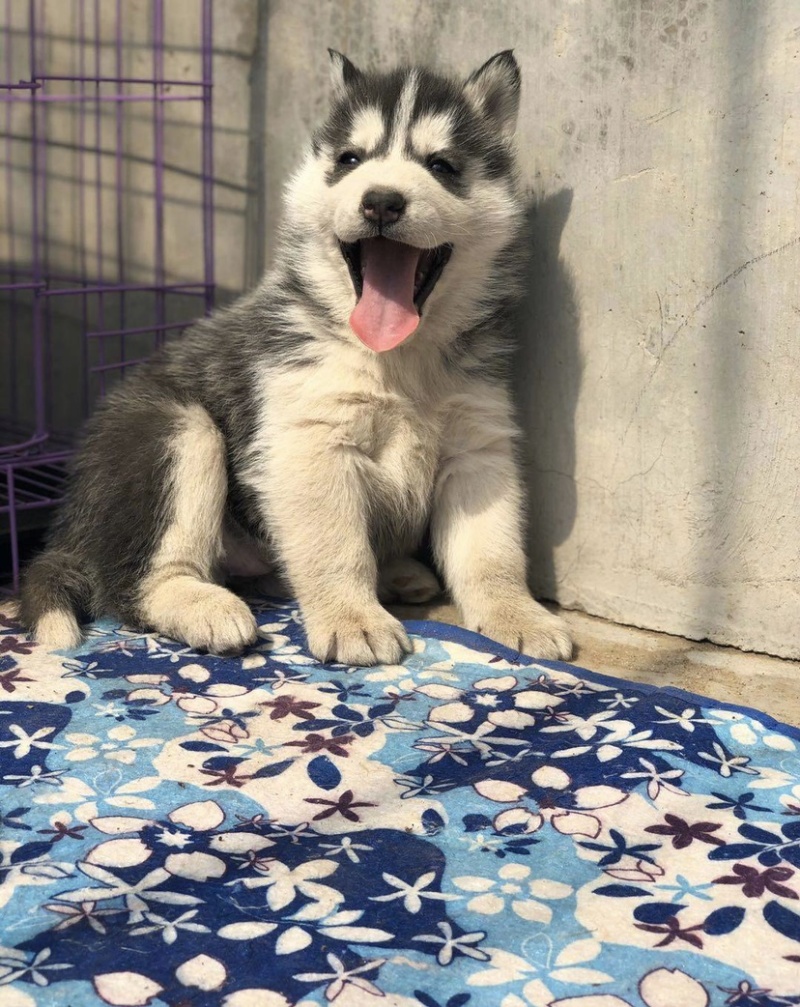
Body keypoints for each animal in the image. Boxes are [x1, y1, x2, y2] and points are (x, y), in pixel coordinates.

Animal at [18, 47, 572, 664]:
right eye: (350, 160)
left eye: (443, 166)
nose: (381, 201)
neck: (396, 359)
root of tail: (69, 524)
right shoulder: (310, 442)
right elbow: (336, 546)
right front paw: (353, 620)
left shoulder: (478, 446)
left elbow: (492, 553)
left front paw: (516, 613)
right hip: (174, 429)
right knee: (134, 581)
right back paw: (203, 606)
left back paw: (398, 573)